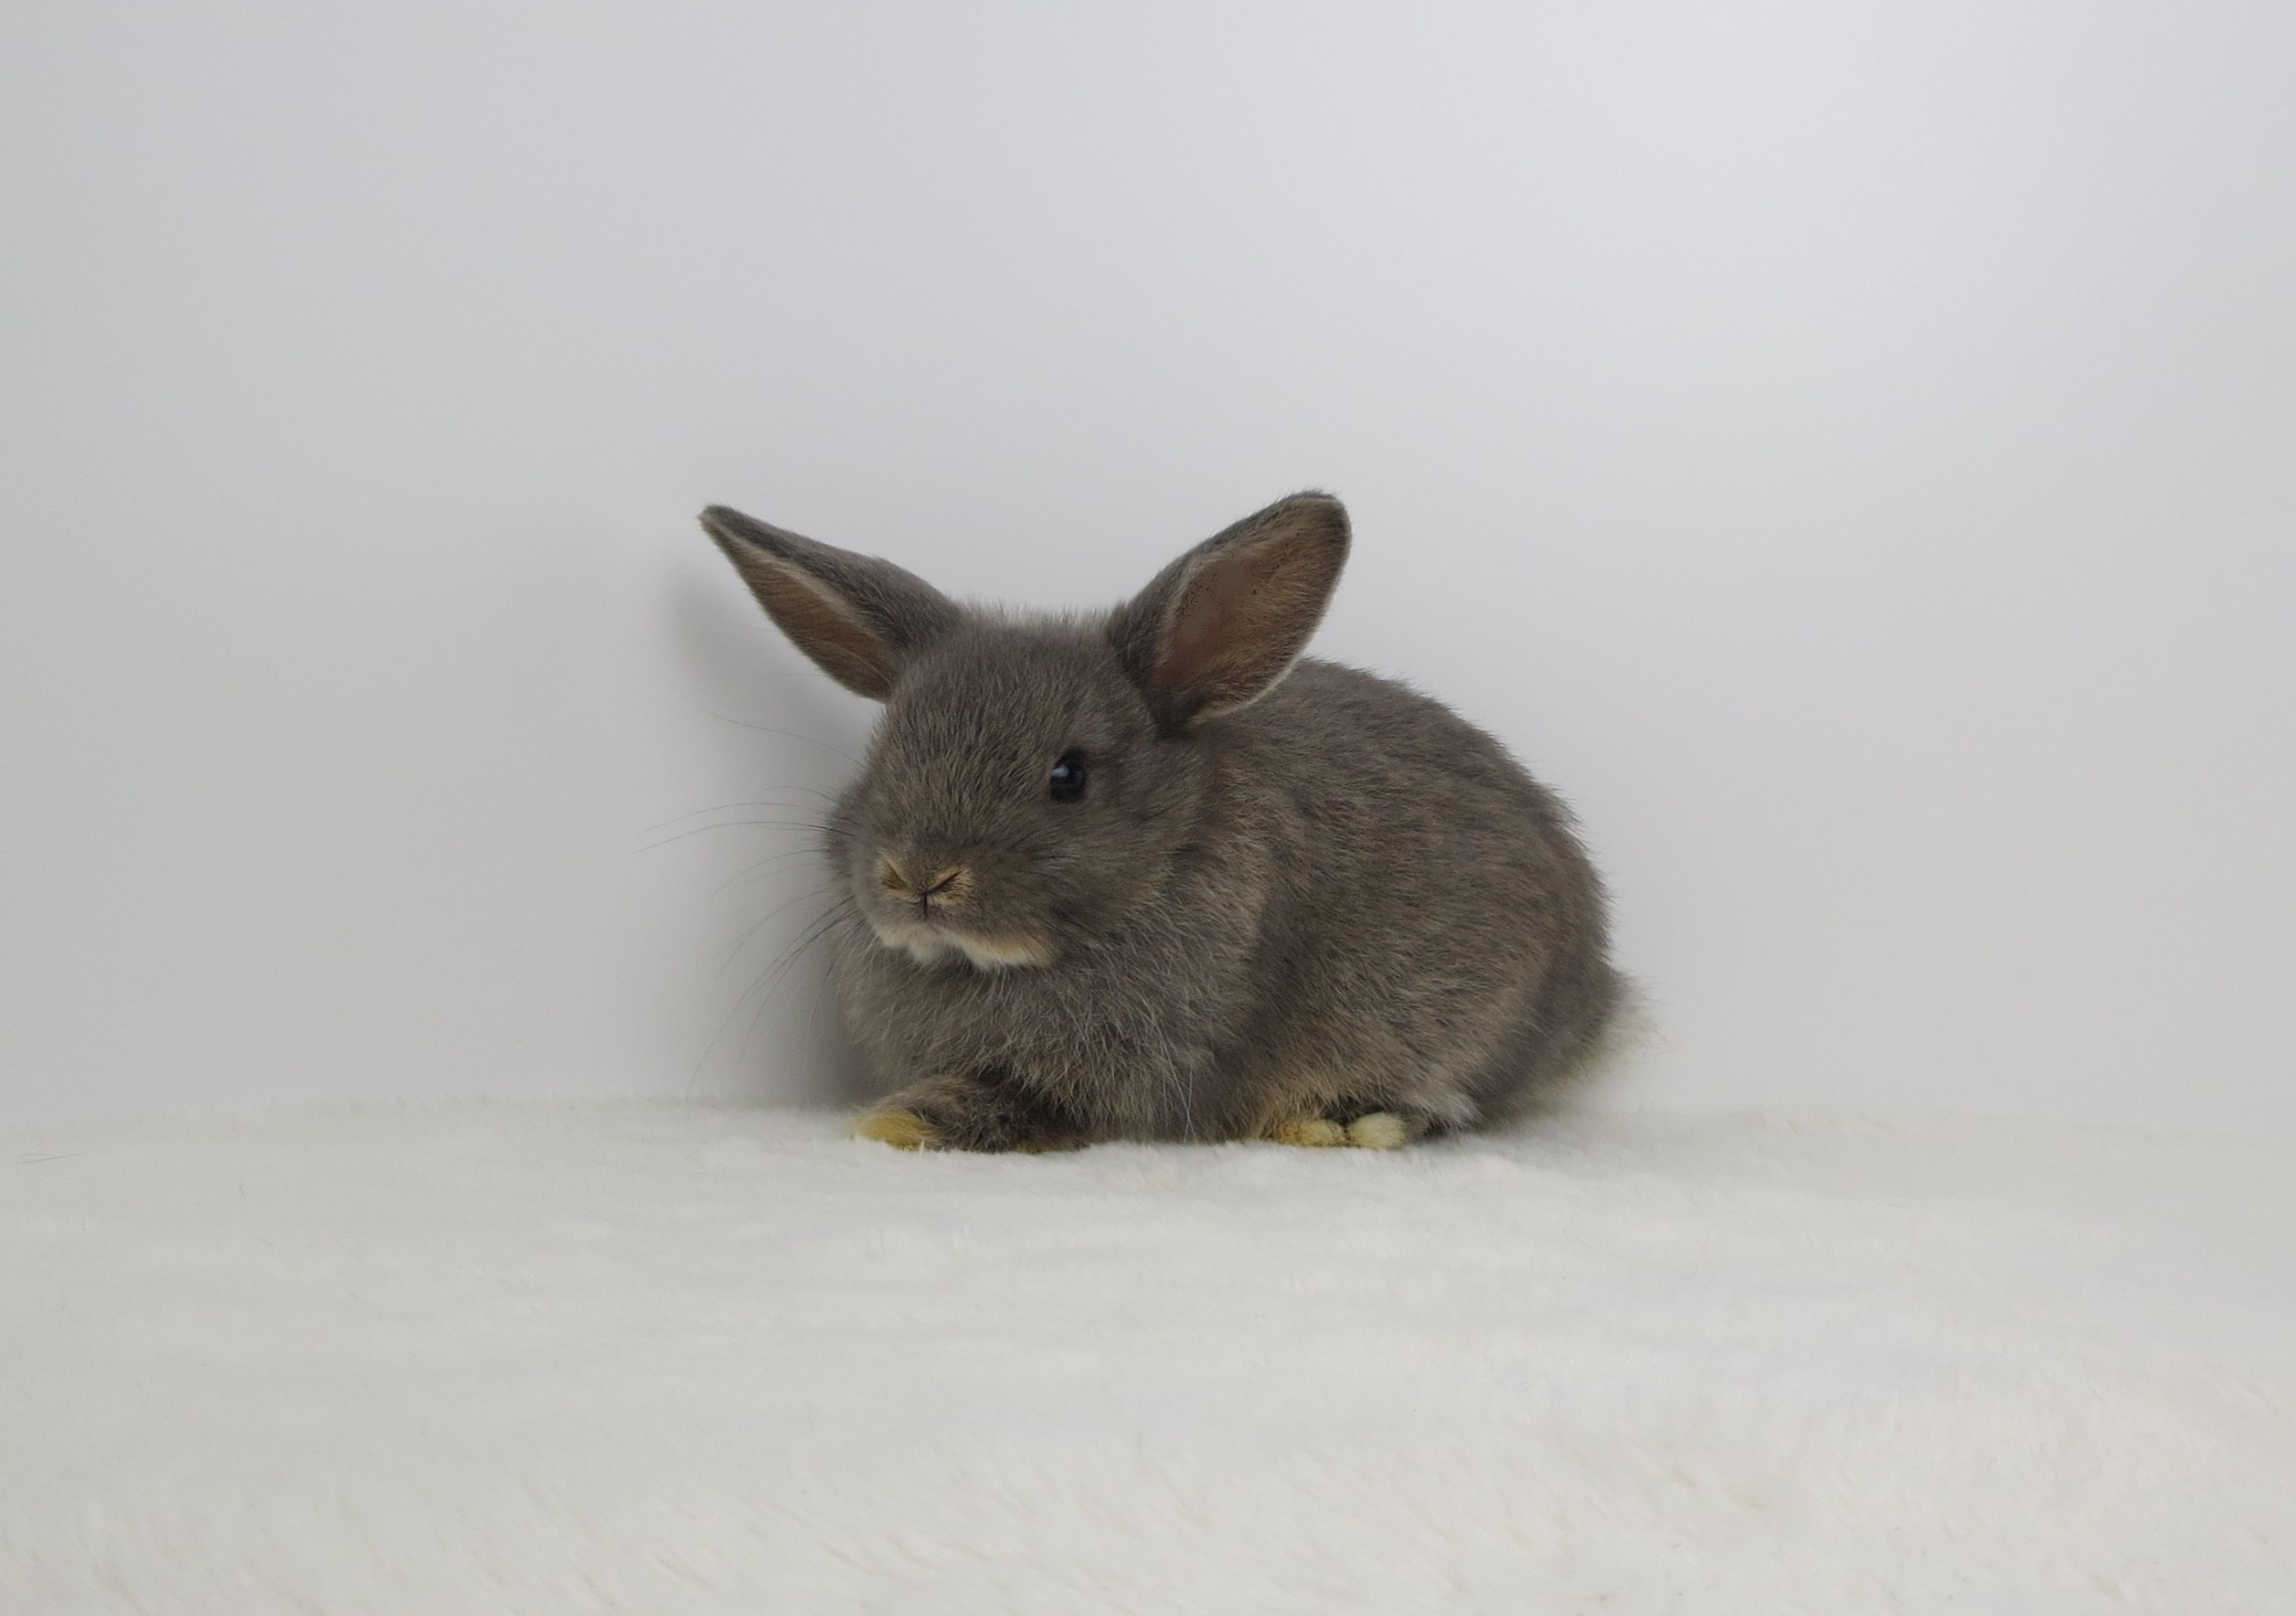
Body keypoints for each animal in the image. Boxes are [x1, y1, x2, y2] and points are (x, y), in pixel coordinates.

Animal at [699, 492, 1617, 1151]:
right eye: (884, 756)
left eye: (1068, 778)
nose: (918, 878)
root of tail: (1599, 997)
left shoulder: (1132, 1065)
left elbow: (1026, 1104)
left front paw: (897, 1120)